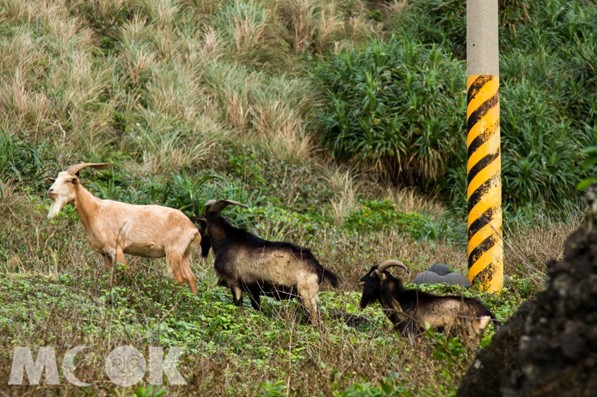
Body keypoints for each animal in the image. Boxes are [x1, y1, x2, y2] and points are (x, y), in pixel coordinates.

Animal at [47, 162, 200, 292]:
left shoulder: (116, 249)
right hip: (184, 254)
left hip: (173, 251)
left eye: (68, 180)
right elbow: (108, 275)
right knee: (191, 278)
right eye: (56, 179)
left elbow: (122, 273)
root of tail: (193, 228)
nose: (50, 190)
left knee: (180, 279)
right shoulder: (105, 253)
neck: (95, 210)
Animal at [194, 198, 338, 324]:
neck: (226, 241)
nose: (200, 245)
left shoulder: (234, 283)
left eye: (201, 224)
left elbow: (238, 305)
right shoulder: (253, 290)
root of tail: (318, 267)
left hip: (307, 295)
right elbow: (257, 308)